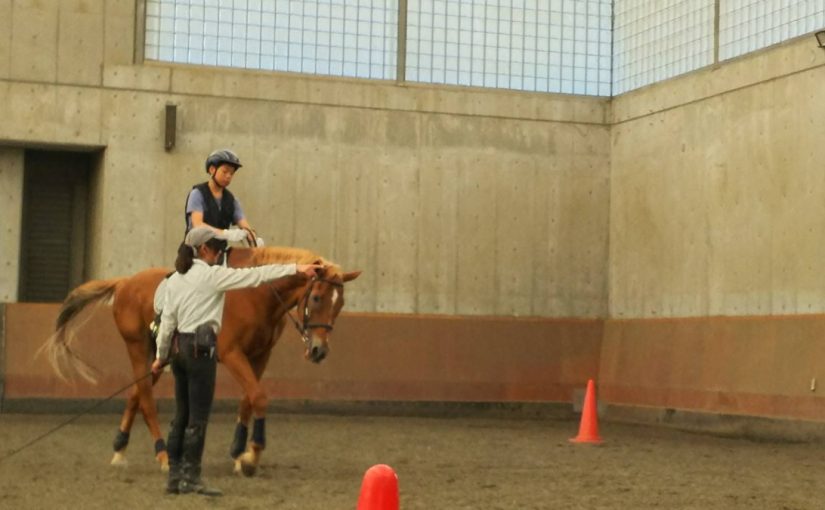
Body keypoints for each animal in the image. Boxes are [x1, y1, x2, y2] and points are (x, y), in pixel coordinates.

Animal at [41, 245, 360, 476]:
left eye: (340, 303)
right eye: (317, 298)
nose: (319, 350)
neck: (255, 294)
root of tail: (124, 283)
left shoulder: (260, 356)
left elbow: (248, 399)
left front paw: (238, 453)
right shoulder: (232, 354)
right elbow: (258, 396)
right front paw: (251, 456)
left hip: (159, 355)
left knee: (135, 394)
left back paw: (120, 449)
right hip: (137, 348)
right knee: (146, 399)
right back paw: (163, 455)